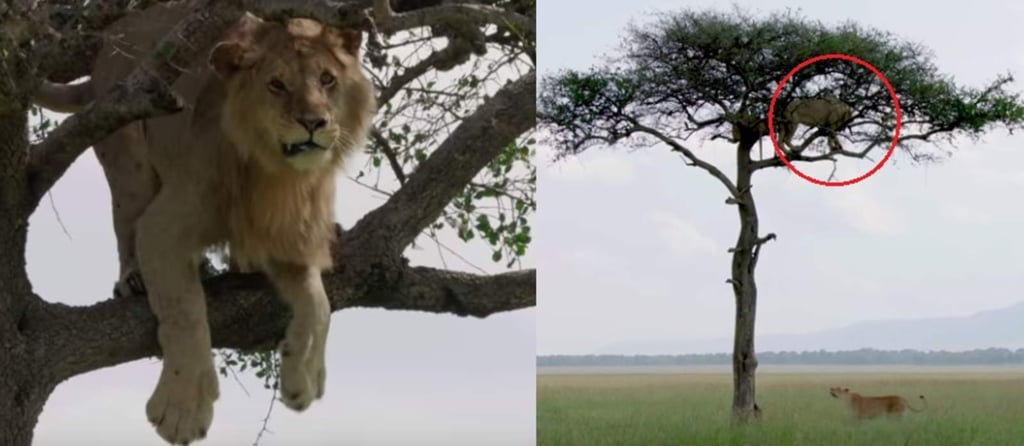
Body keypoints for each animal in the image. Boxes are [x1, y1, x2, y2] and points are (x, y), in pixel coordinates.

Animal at [33, 2, 375, 444]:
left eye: (327, 79)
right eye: (276, 85)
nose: (314, 122)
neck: (274, 173)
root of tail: (109, 44)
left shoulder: (290, 238)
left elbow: (319, 305)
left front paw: (303, 378)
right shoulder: (163, 226)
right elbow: (185, 310)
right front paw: (182, 409)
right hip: (129, 162)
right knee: (126, 222)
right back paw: (133, 278)